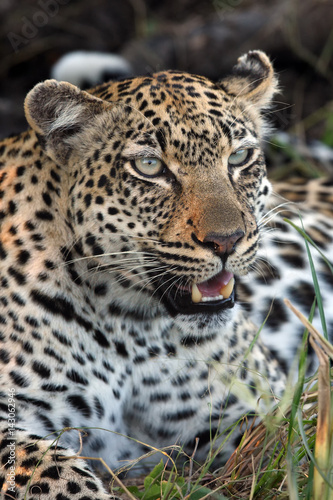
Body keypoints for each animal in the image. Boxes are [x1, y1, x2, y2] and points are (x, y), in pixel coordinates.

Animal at [0, 51, 332, 500]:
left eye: (238, 158)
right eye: (150, 166)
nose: (227, 241)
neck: (127, 329)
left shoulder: (260, 411)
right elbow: (54, 473)